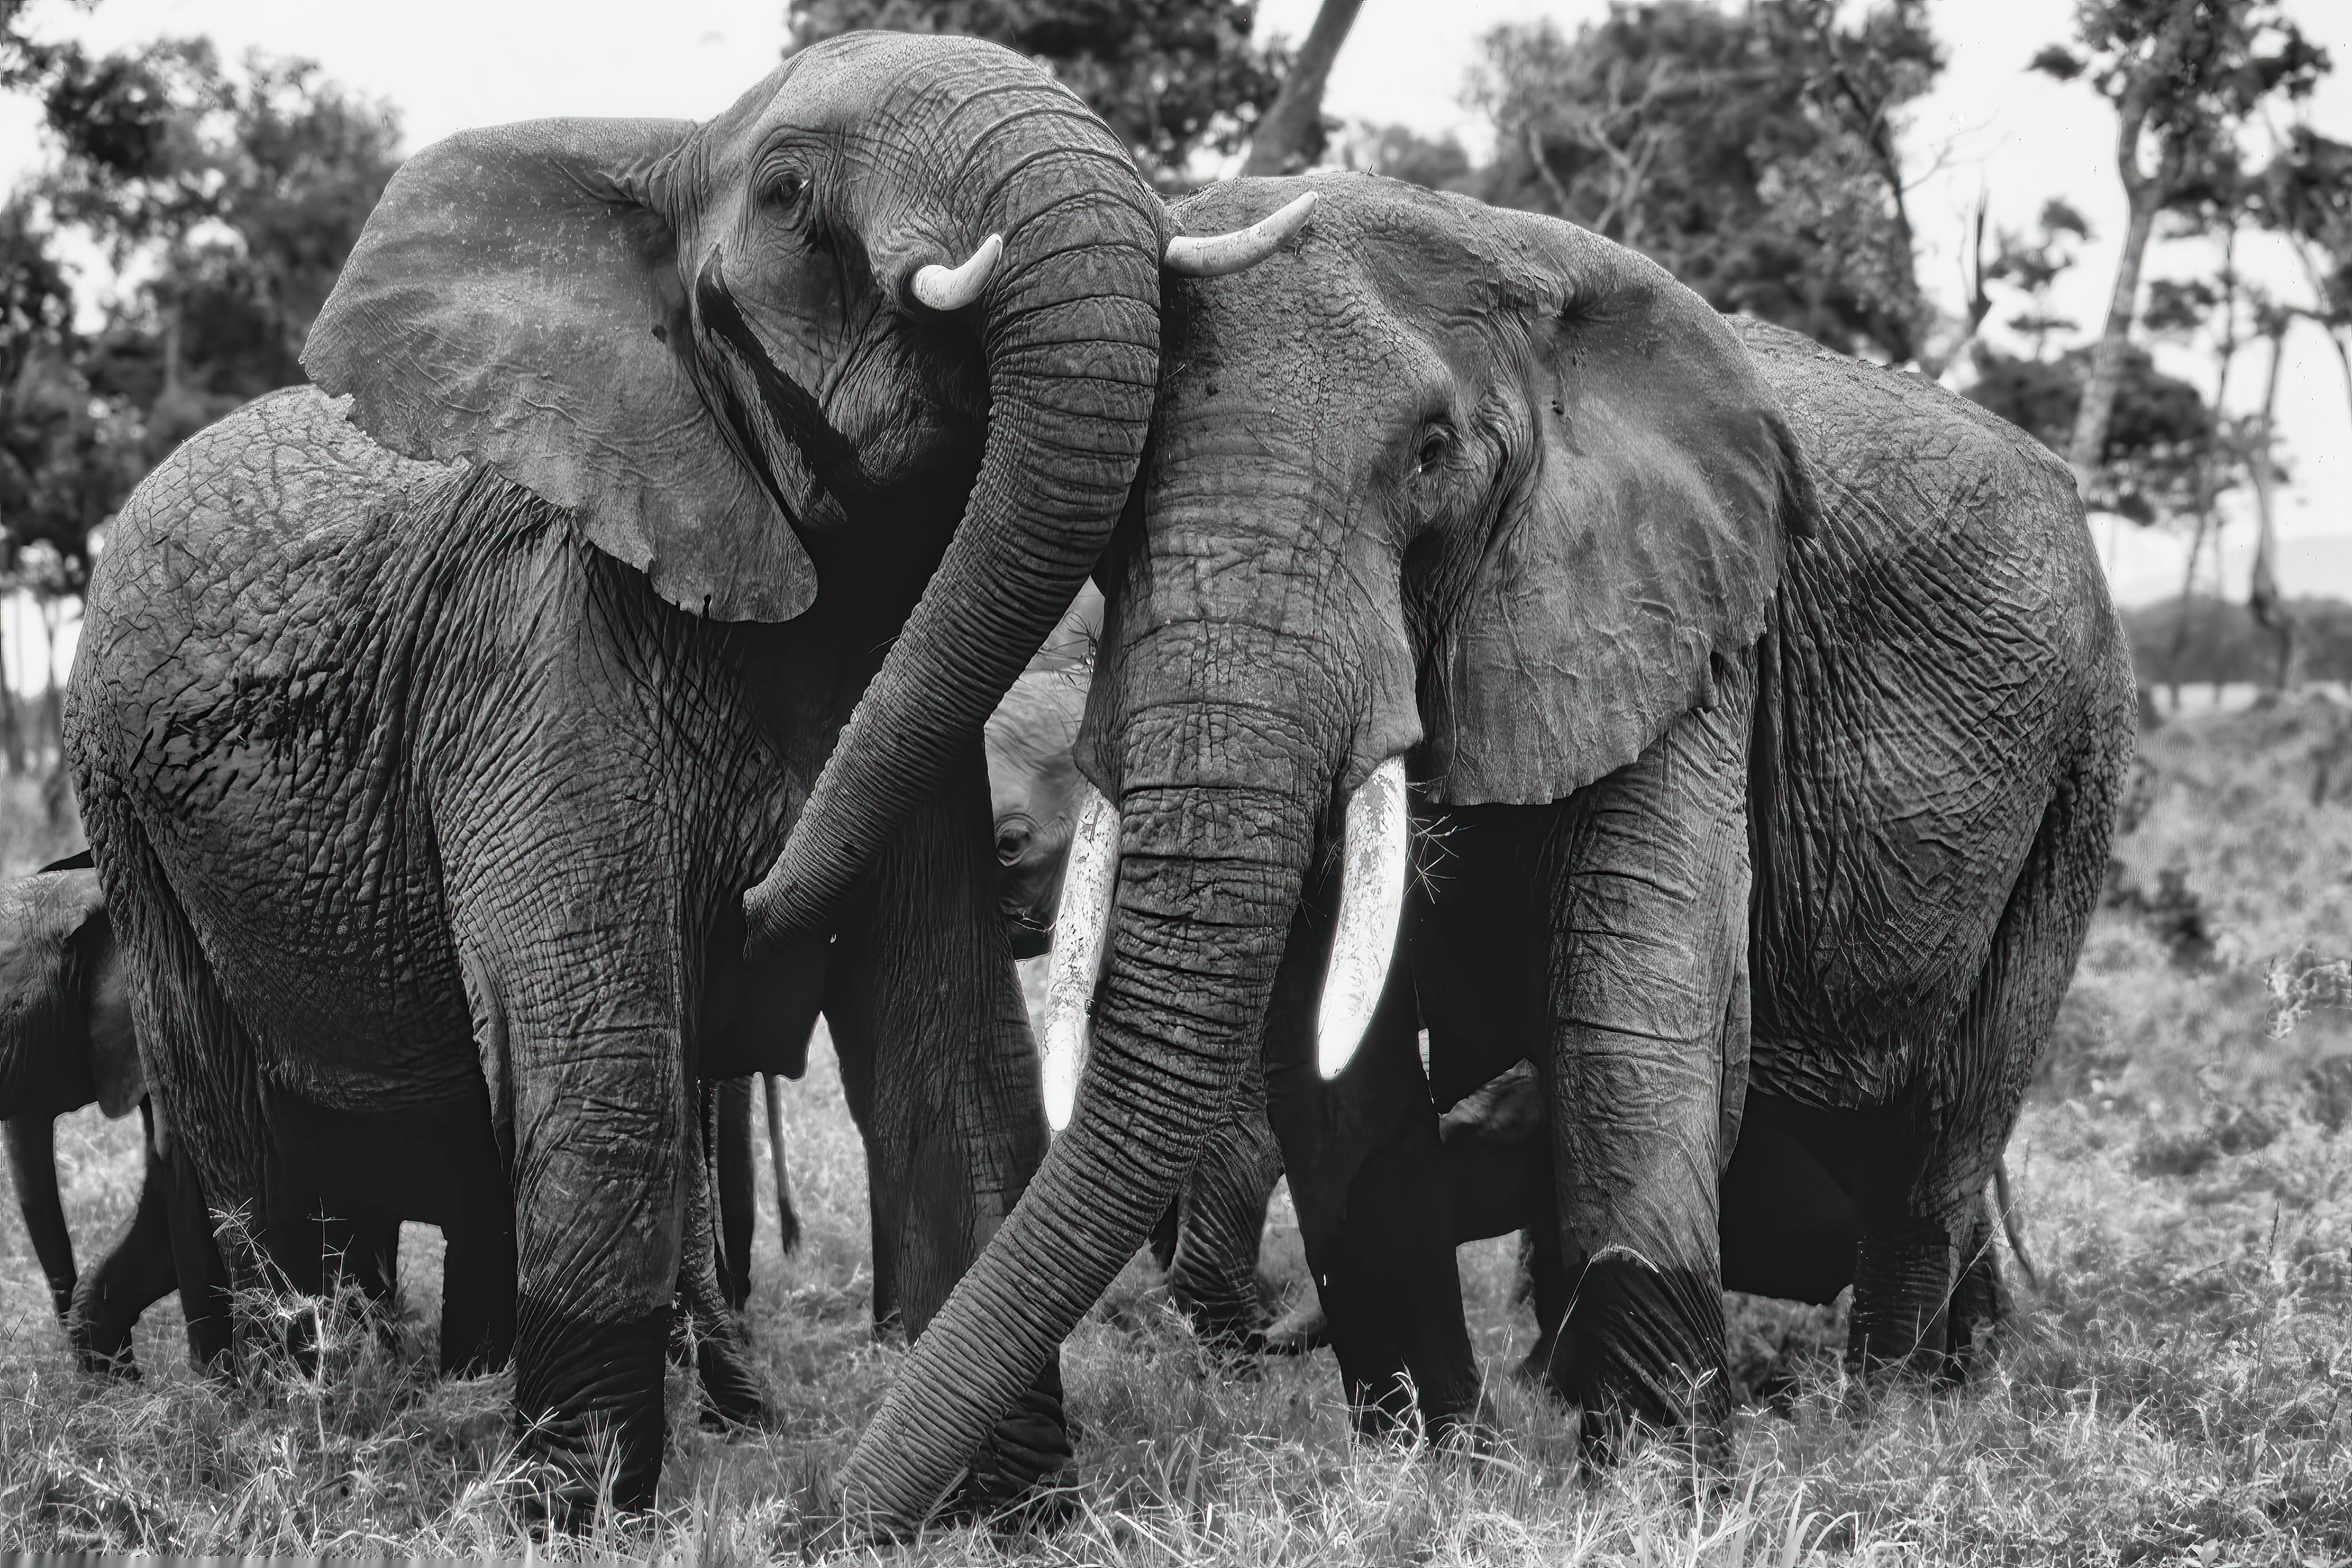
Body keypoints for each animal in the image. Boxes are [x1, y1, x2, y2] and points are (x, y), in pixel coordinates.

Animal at [61, 33, 1304, 1516]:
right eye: (788, 195)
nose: (825, 1513)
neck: (664, 153)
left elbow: (954, 1062)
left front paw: (1015, 1514)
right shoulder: (540, 663)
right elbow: (608, 1070)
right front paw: (569, 1512)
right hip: (122, 803)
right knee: (239, 1123)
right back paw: (291, 1423)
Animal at [825, 173, 2133, 1531]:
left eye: (1430, 456)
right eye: (1116, 498)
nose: (838, 1515)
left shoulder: (1678, 627)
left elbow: (1632, 1019)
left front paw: (1660, 1503)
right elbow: (1336, 1072)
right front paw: (1436, 1474)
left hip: (2079, 766)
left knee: (1946, 1135)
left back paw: (1899, 1422)